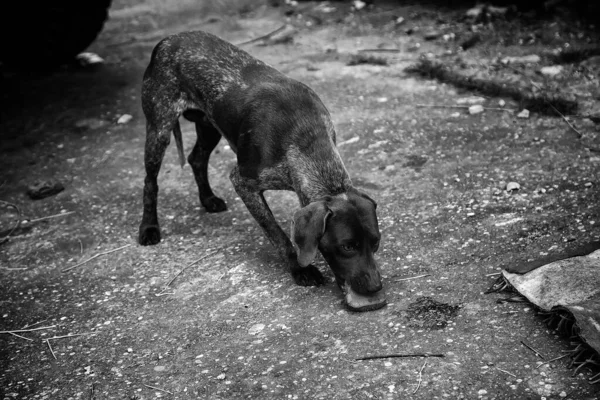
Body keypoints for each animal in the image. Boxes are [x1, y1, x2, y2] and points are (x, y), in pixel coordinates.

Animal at [138, 31, 386, 312]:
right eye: (347, 246)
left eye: (375, 242)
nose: (375, 287)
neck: (306, 140)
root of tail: (168, 39)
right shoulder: (243, 181)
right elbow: (276, 233)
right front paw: (300, 269)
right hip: (159, 128)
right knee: (150, 180)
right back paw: (149, 227)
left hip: (209, 125)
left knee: (196, 159)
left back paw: (208, 199)